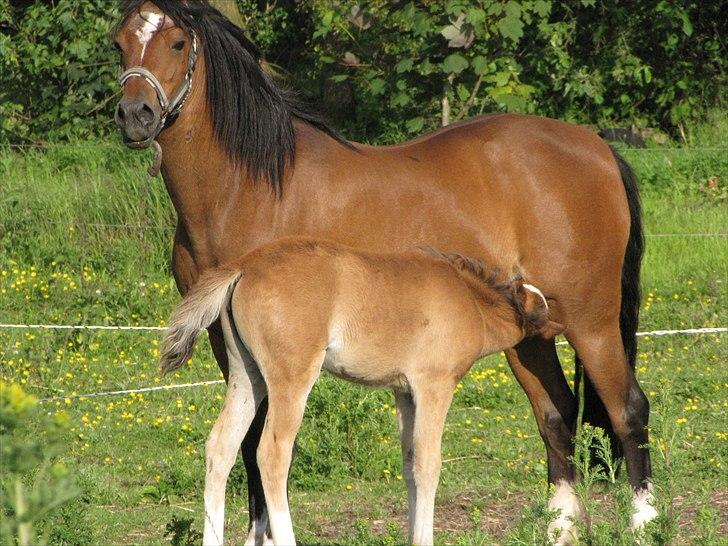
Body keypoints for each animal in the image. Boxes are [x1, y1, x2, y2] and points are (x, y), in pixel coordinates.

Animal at [160, 238, 565, 545]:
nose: (559, 331)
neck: (469, 300)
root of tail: (244, 265)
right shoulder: (433, 387)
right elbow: (428, 465)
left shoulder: (404, 393)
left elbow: (409, 465)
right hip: (291, 378)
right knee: (272, 454)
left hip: (247, 377)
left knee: (220, 447)